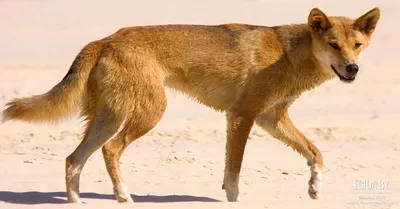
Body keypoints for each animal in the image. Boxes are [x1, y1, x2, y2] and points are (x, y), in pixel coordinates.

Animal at [0, 7, 382, 202]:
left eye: (358, 45)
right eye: (333, 45)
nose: (352, 69)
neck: (289, 54)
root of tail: (104, 39)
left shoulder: (271, 118)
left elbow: (315, 152)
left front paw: (315, 186)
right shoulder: (242, 115)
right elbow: (234, 174)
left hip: (109, 116)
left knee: (73, 159)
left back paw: (78, 203)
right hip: (149, 111)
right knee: (110, 150)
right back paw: (123, 195)